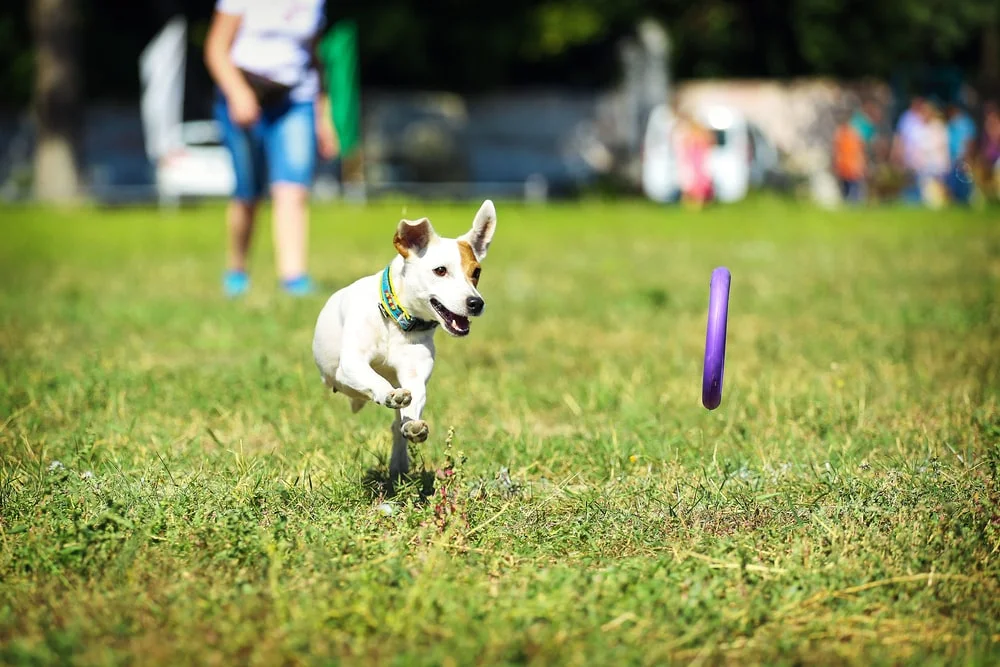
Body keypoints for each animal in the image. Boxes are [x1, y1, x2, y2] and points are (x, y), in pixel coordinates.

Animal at [312, 201, 496, 482]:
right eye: (440, 270)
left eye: (476, 272)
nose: (476, 303)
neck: (397, 320)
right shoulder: (351, 365)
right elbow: (374, 379)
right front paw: (388, 393)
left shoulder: (414, 374)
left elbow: (413, 400)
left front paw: (412, 425)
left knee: (395, 426)